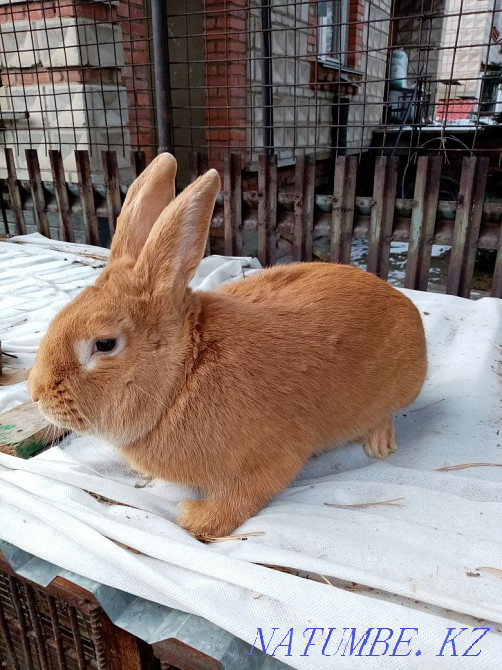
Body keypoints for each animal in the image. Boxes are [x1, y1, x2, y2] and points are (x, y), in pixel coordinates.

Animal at [28, 153, 427, 539]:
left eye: (105, 344)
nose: (36, 392)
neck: (183, 375)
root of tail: (402, 303)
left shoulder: (271, 457)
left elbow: (243, 496)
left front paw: (196, 520)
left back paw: (378, 445)